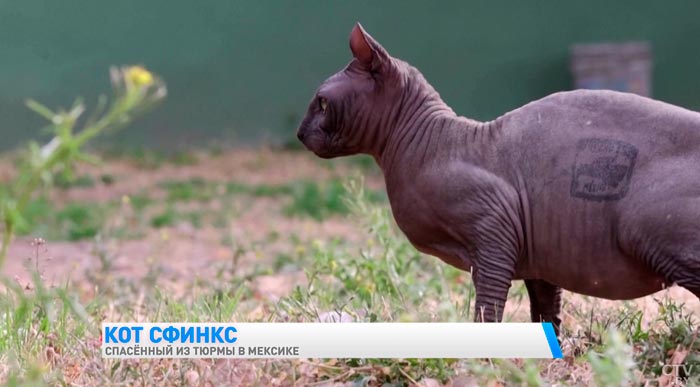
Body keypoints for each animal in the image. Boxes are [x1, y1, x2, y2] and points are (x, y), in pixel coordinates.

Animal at [296, 24, 700, 334]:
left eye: (321, 102)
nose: (300, 133)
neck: (428, 145)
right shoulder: (540, 260)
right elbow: (547, 316)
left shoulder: (494, 238)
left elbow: (488, 310)